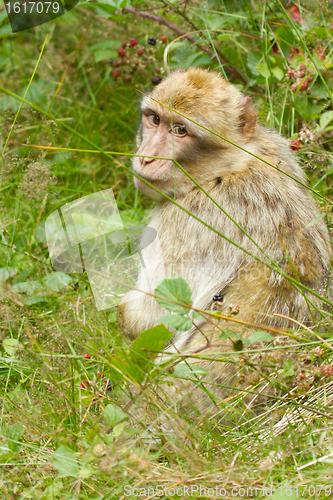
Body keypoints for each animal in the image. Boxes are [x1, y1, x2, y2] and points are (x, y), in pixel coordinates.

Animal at [116, 66, 330, 418]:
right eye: (154, 120)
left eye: (180, 131)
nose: (146, 159)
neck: (231, 167)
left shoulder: (186, 220)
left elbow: (152, 317)